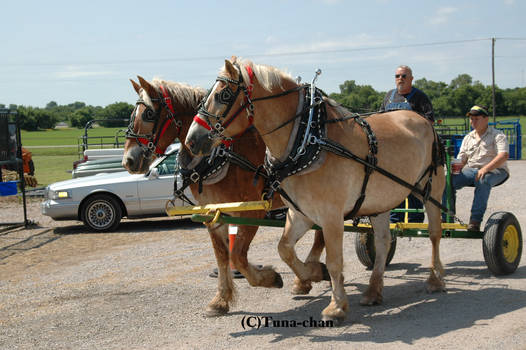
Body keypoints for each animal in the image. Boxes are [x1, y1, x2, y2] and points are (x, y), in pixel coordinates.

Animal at [124, 76, 330, 318]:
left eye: (148, 113)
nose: (128, 160)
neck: (221, 155)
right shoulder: (213, 213)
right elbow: (222, 255)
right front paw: (221, 300)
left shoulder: (253, 211)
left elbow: (238, 256)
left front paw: (269, 278)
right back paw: (305, 279)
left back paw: (309, 275)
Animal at [187, 56, 450, 322]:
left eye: (224, 95)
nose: (191, 141)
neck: (308, 140)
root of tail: (423, 120)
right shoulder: (300, 213)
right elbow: (284, 249)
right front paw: (305, 275)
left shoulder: (331, 215)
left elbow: (334, 261)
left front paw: (336, 305)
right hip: (380, 202)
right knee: (384, 241)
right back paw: (373, 290)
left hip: (431, 190)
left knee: (435, 234)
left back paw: (435, 279)